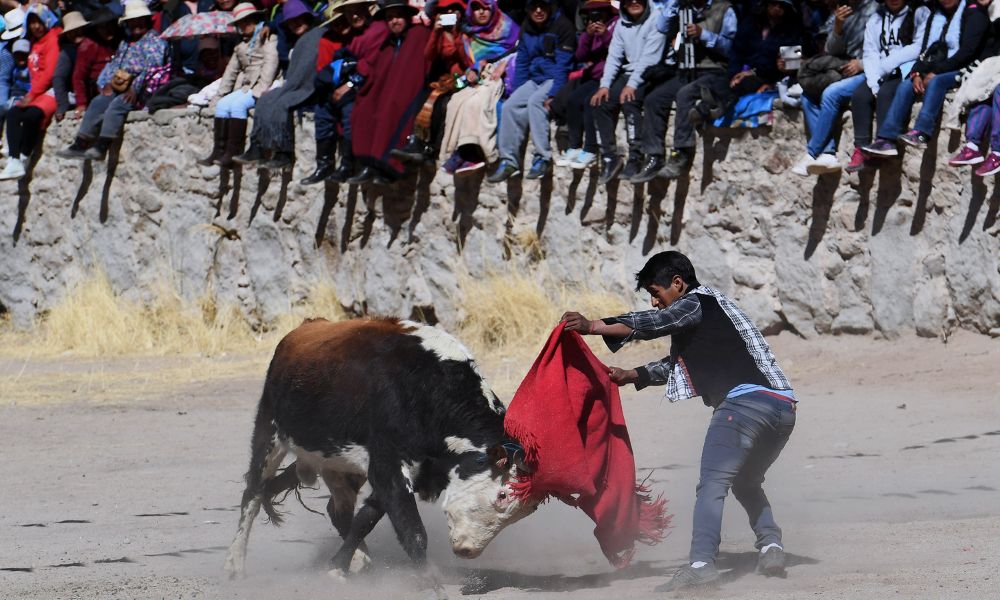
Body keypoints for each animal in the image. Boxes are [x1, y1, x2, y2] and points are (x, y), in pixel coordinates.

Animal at [224, 318, 544, 592]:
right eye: (502, 495)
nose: (467, 551)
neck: (427, 388)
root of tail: (305, 327)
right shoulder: (387, 465)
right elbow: (411, 529)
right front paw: (429, 580)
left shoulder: (395, 470)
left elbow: (366, 517)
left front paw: (339, 566)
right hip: (269, 434)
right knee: (253, 494)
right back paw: (235, 564)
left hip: (337, 463)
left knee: (336, 509)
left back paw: (360, 559)